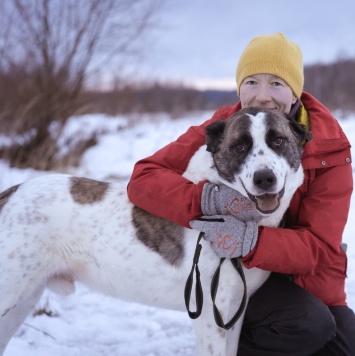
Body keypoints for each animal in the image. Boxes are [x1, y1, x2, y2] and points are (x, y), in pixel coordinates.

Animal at [0, 107, 308, 354]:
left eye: (278, 141)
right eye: (240, 146)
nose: (265, 178)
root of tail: (12, 191)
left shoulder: (233, 315)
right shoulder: (211, 316)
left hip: (24, 299)